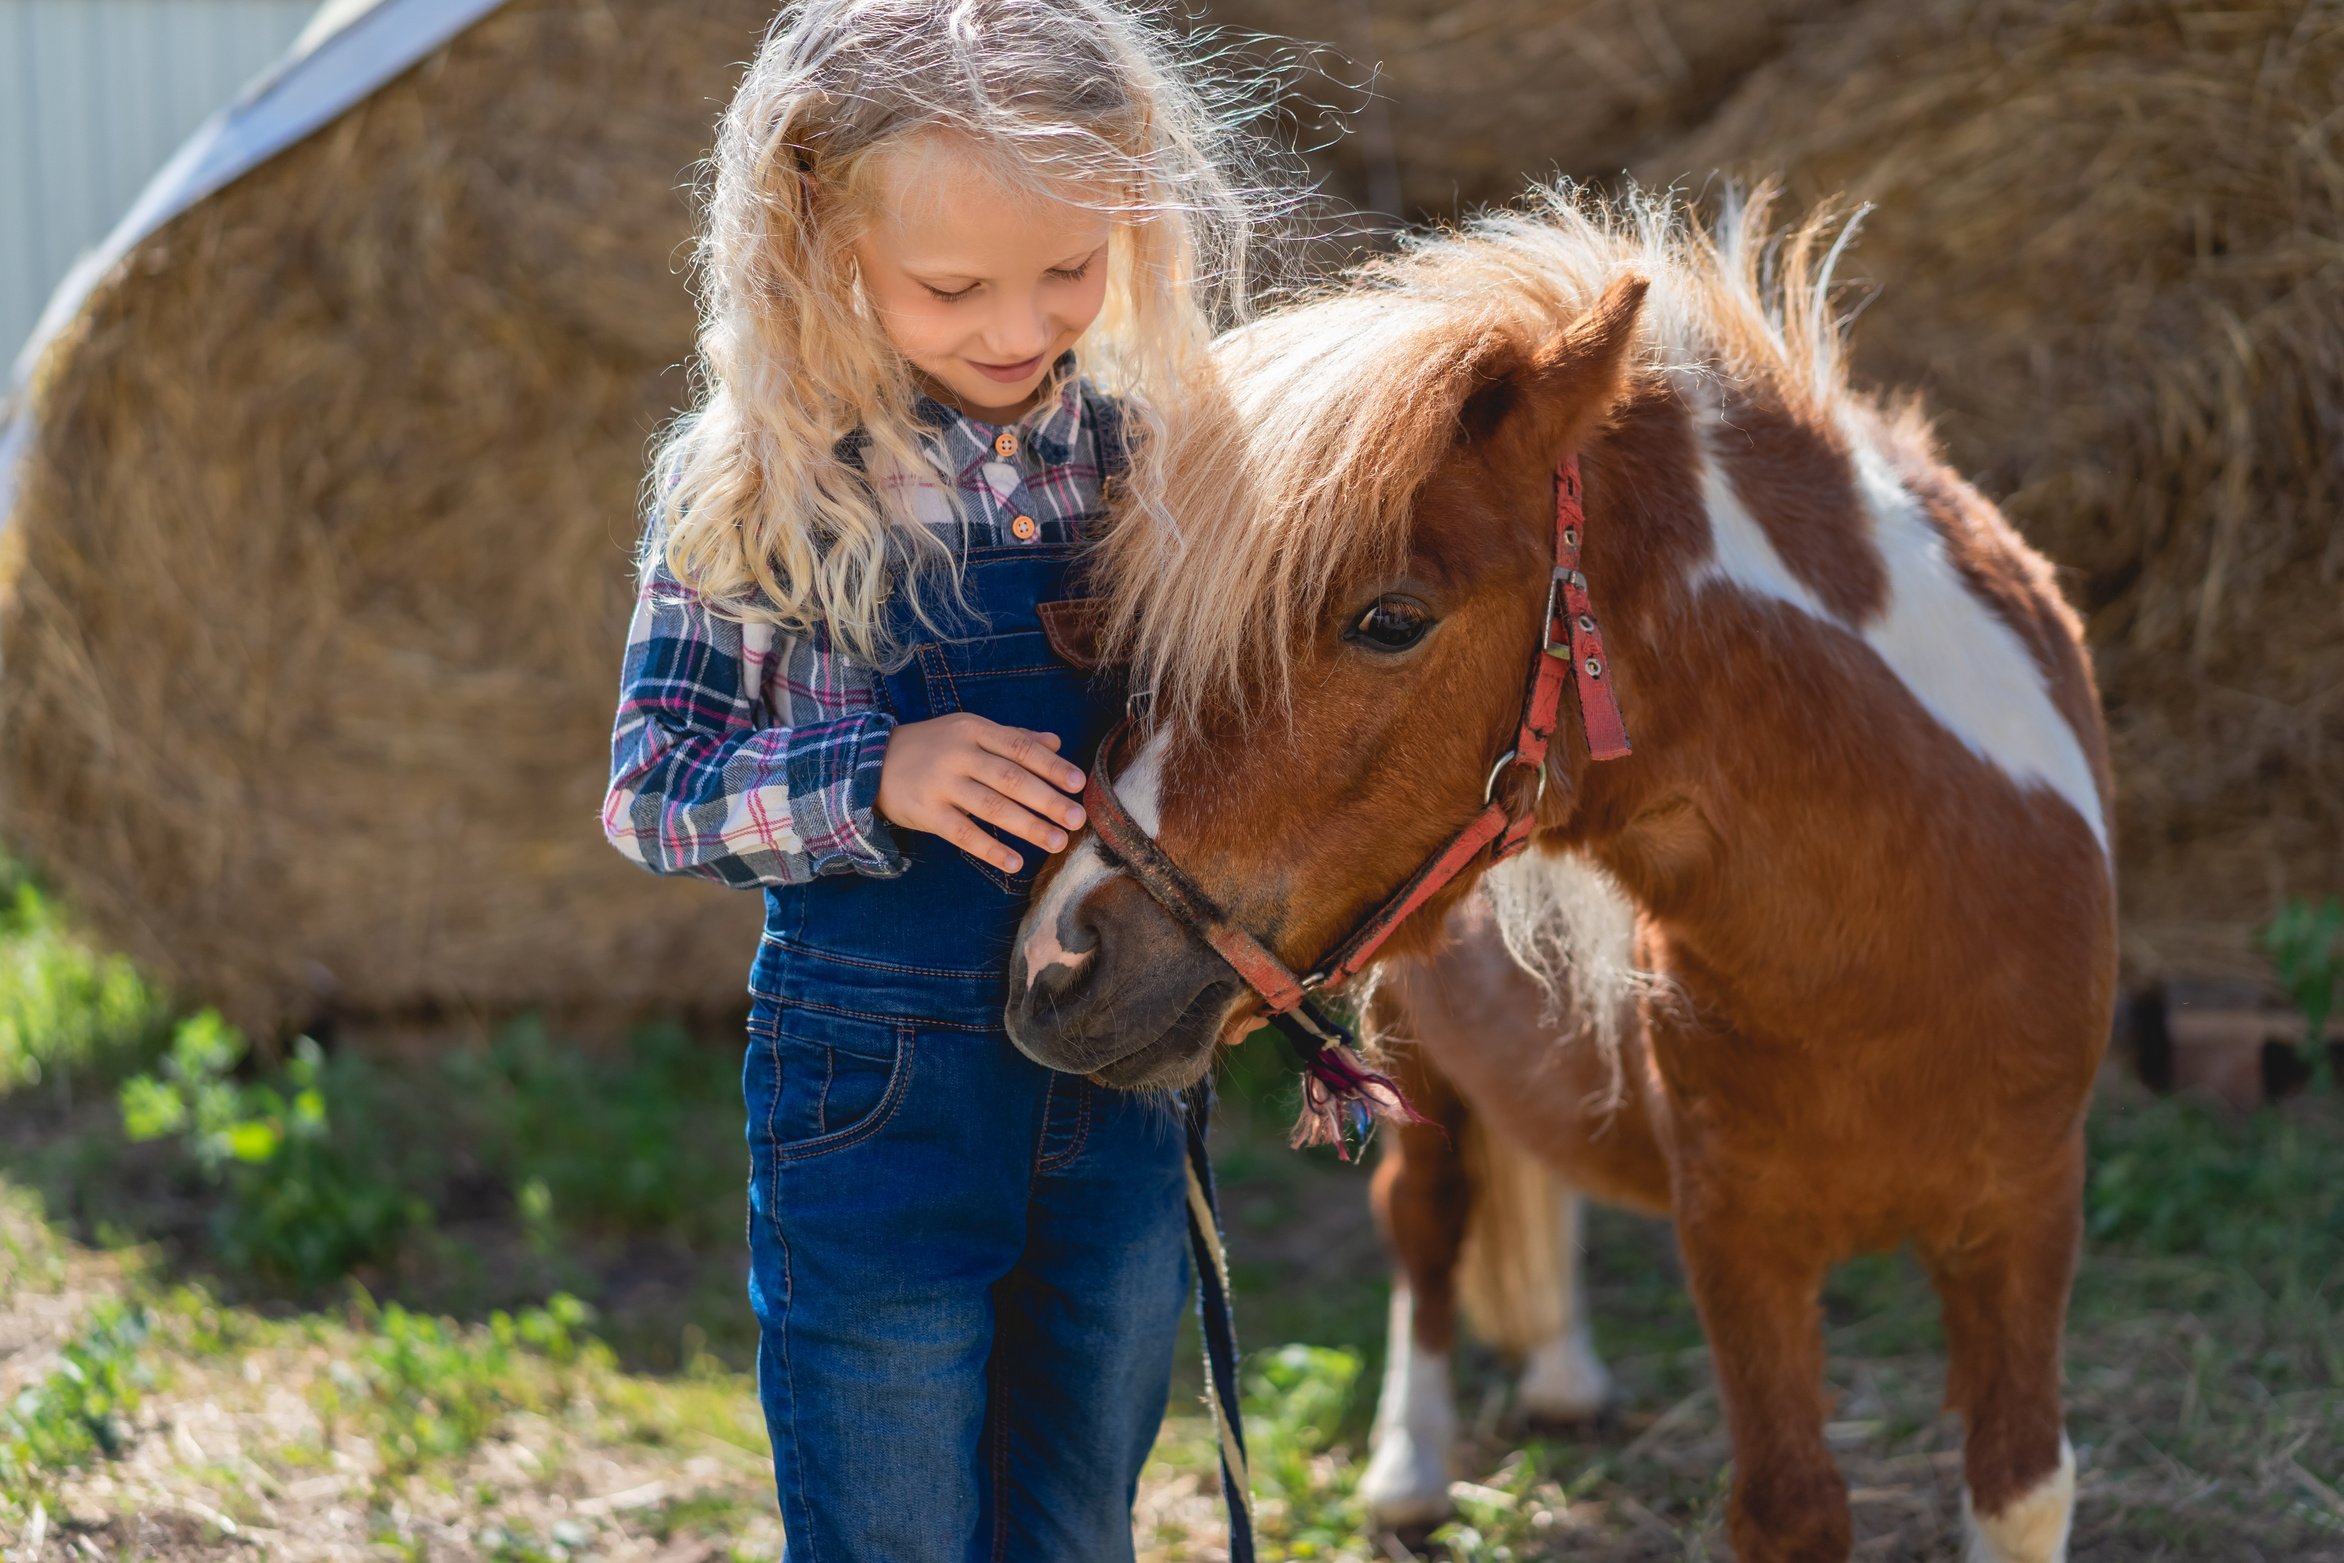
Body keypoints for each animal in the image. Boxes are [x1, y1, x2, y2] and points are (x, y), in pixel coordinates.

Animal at [1007, 189, 2128, 1555]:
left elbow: (2022, 1481)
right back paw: (1411, 1467)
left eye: (1390, 619)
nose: (1055, 962)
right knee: (1426, 1224)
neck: (1900, 933)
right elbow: (1792, 1507)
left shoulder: (2027, 1215)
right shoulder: (1738, 1237)